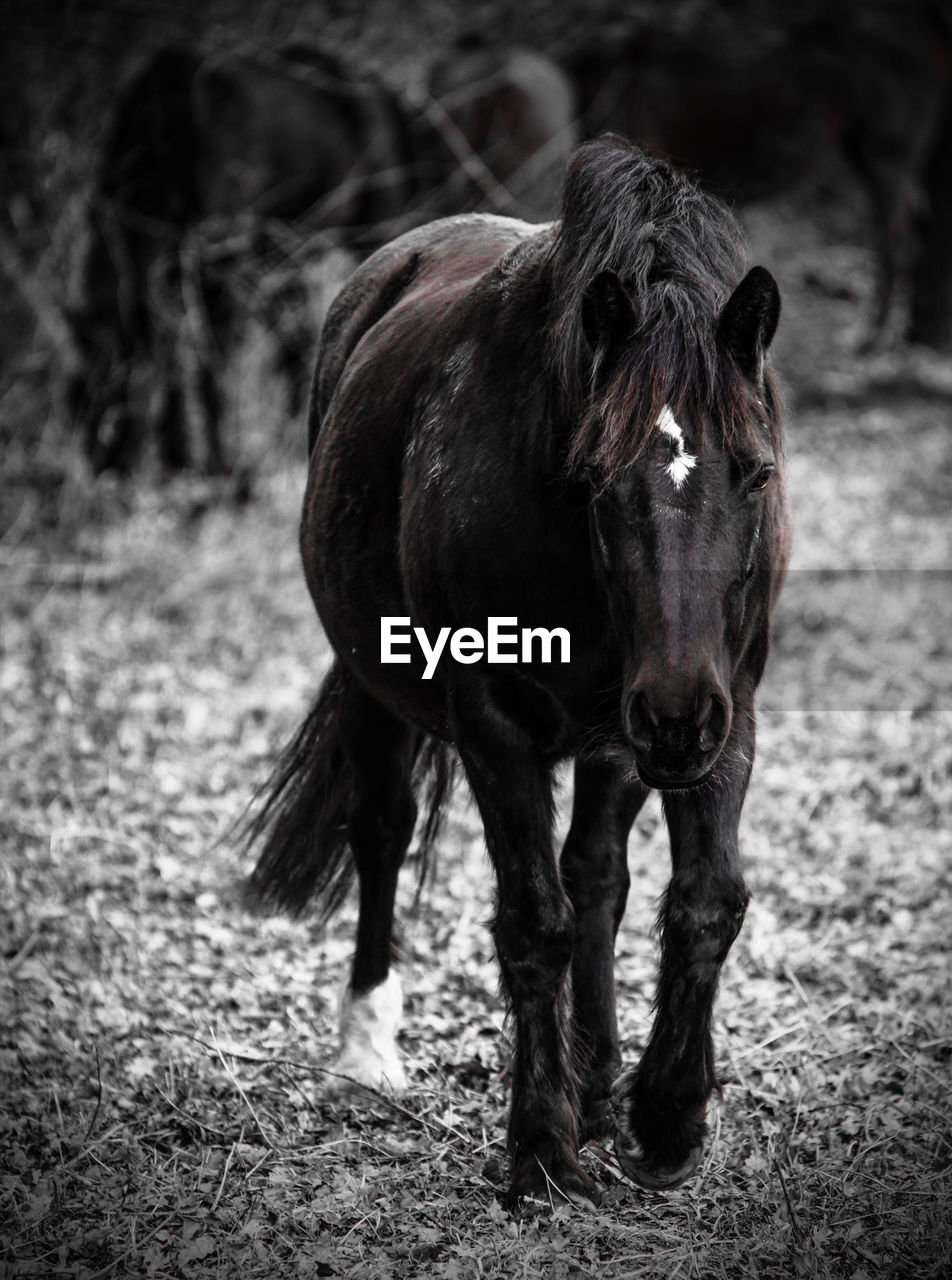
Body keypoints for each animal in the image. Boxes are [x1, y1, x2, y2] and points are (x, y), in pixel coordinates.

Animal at [246, 140, 788, 1208]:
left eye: (754, 472)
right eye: (595, 480)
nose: (674, 713)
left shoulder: (726, 712)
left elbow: (701, 899)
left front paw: (666, 1119)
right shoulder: (495, 723)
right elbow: (533, 919)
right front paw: (541, 1149)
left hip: (623, 734)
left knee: (599, 874)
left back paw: (601, 1075)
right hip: (375, 683)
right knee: (383, 831)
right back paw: (366, 1054)